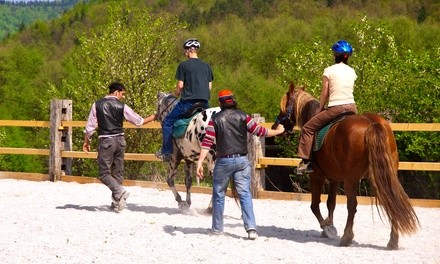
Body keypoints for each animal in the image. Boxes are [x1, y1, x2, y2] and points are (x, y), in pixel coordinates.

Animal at [272, 82, 420, 250]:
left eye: (284, 105)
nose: (276, 125)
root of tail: (372, 123)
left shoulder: (316, 176)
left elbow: (315, 205)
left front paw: (327, 228)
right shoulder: (334, 178)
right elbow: (331, 203)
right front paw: (329, 226)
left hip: (351, 179)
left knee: (352, 205)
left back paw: (346, 237)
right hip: (384, 175)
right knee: (391, 200)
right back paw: (392, 241)